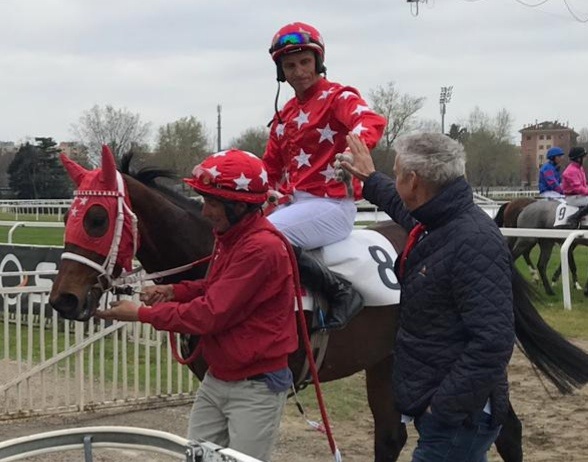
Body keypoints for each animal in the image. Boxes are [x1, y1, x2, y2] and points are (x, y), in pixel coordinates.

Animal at [47, 149, 588, 462]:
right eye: (69, 216)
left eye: (97, 218)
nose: (62, 300)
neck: (212, 254)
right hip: (389, 358)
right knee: (390, 435)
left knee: (508, 430)